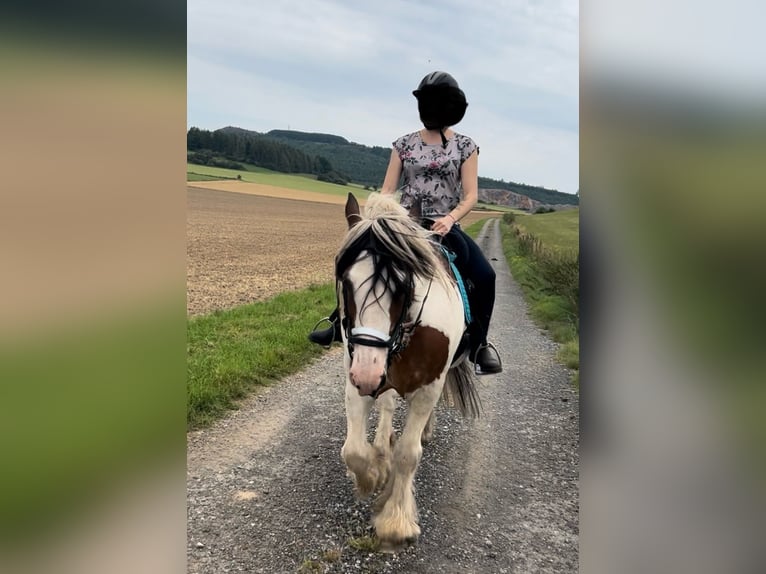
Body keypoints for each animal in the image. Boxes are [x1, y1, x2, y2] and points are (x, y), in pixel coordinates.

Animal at [336, 194, 480, 552]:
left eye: (404, 285)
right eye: (347, 283)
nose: (368, 374)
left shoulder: (428, 387)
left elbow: (407, 455)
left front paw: (395, 521)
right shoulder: (356, 378)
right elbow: (353, 450)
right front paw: (373, 474)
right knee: (387, 405)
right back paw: (382, 443)